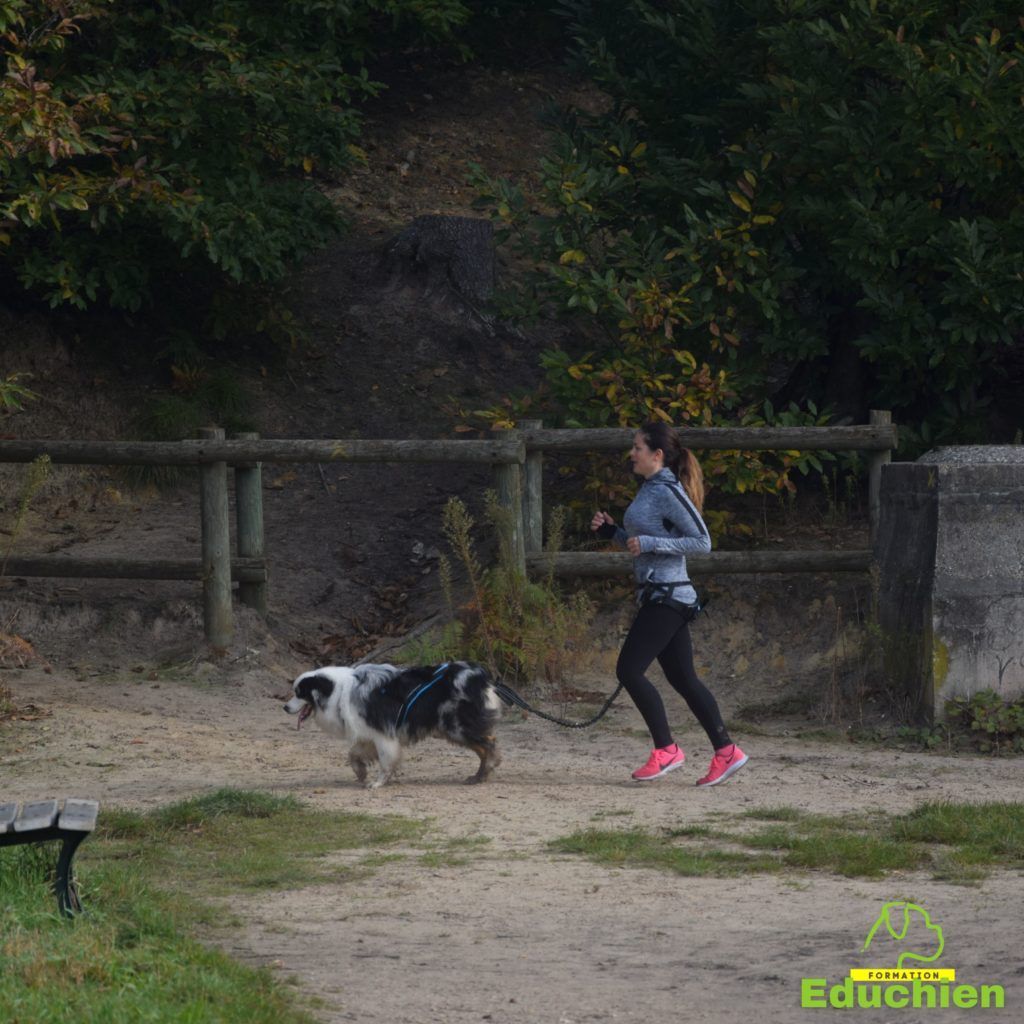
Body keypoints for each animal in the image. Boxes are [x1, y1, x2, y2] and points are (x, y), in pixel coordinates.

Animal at [284, 659, 503, 786]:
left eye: (299, 693)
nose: (285, 707)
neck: (338, 691)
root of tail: (480, 678)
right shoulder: (368, 733)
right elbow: (353, 754)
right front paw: (361, 773)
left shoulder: (383, 735)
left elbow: (385, 761)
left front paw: (378, 783)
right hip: (453, 731)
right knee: (483, 748)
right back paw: (479, 776)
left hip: (457, 727)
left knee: (490, 744)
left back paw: (488, 768)